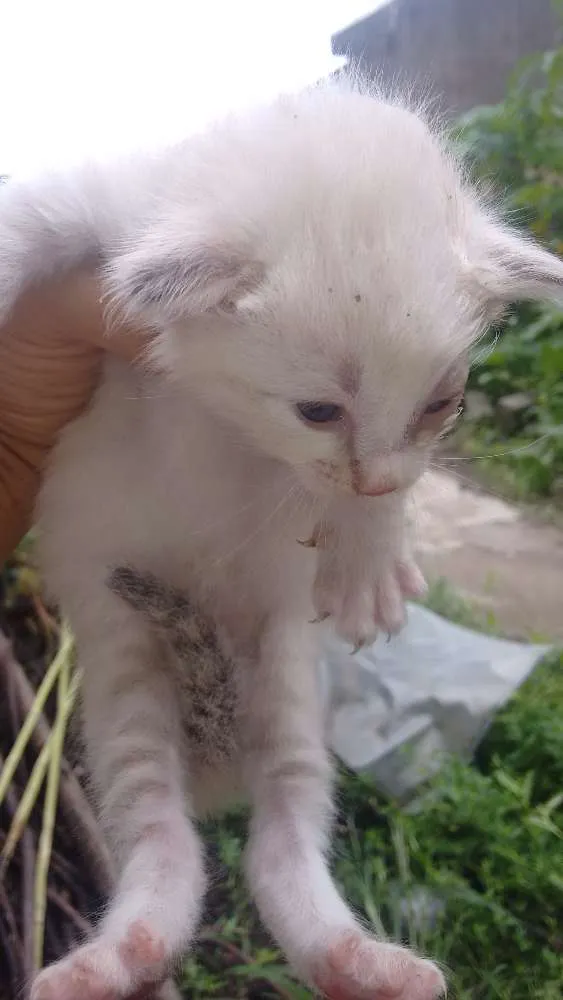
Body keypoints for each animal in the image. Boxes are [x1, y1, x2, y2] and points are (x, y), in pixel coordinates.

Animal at [1, 72, 563, 1000]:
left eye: (439, 405)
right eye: (316, 411)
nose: (370, 482)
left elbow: (392, 483)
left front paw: (371, 548)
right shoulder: (84, 210)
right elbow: (18, 232)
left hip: (287, 685)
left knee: (280, 840)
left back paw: (355, 959)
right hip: (121, 670)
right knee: (162, 840)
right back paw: (119, 954)